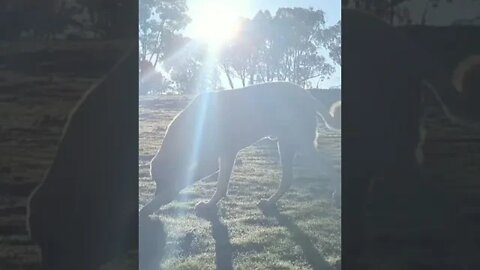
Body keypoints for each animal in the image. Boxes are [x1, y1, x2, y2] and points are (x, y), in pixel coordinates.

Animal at [139, 82, 342, 219]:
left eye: (160, 180)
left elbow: (218, 185)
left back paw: (337, 195)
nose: (158, 197)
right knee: (287, 179)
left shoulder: (217, 159)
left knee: (329, 170)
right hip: (286, 145)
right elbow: (220, 184)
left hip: (301, 143)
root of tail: (308, 95)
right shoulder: (220, 158)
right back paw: (270, 202)